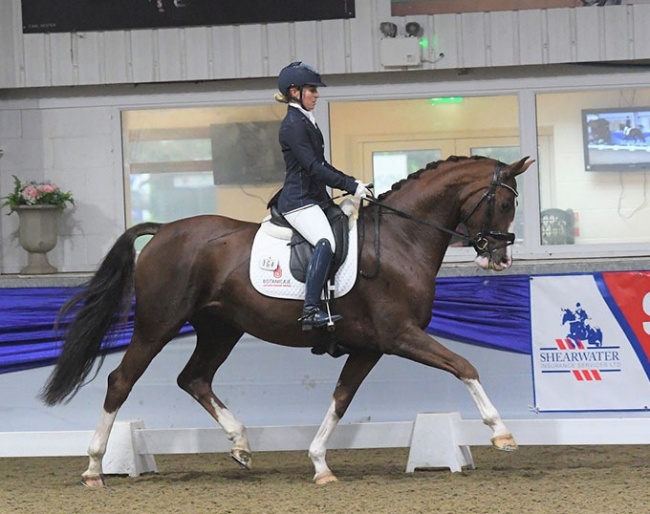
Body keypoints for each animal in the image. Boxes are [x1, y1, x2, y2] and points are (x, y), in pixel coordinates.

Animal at [38, 152, 528, 484]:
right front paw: (501, 433)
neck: (400, 239)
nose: (501, 259)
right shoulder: (399, 335)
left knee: (194, 378)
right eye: (504, 204)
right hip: (158, 324)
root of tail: (163, 231)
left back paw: (240, 444)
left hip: (220, 328)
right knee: (121, 381)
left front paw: (320, 463)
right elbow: (464, 366)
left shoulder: (369, 348)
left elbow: (341, 399)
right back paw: (95, 467)